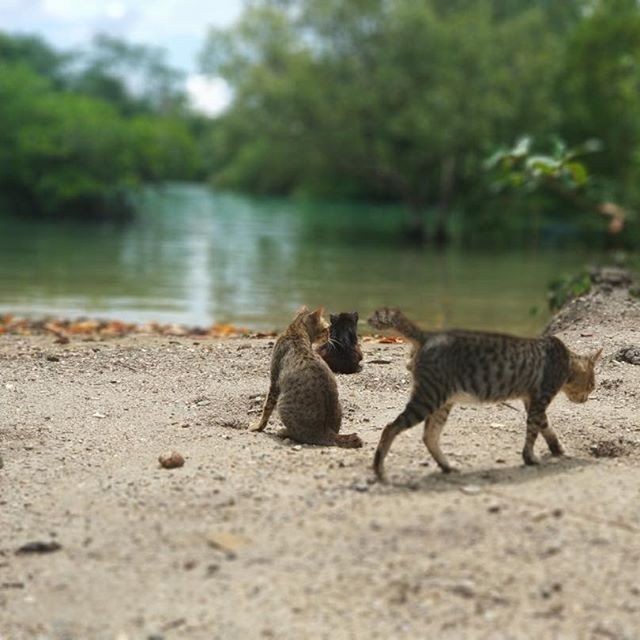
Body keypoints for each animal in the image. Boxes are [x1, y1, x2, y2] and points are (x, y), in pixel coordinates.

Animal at [250, 308, 362, 448]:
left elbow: (266, 408)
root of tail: (326, 432)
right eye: (326, 329)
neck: (295, 331)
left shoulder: (274, 382)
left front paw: (258, 426)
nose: (329, 337)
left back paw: (283, 431)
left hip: (282, 405)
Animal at [368, 308, 604, 482]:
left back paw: (447, 466)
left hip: (442, 402)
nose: (586, 398)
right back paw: (379, 470)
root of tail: (429, 335)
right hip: (429, 398)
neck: (565, 360)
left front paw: (556, 449)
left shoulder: (532, 402)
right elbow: (533, 432)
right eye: (592, 385)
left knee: (429, 436)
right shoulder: (540, 400)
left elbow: (545, 427)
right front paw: (530, 458)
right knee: (391, 428)